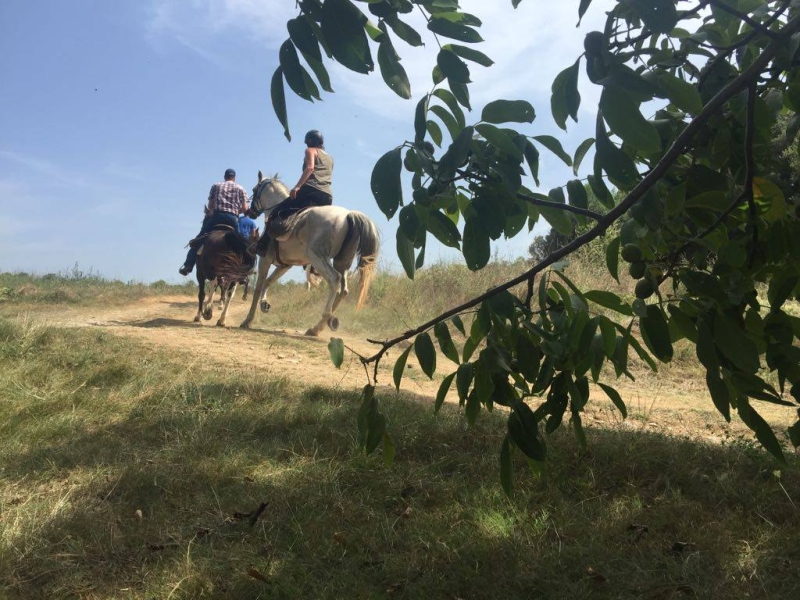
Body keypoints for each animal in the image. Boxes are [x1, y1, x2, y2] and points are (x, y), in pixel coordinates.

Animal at [239, 171, 380, 336]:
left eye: (255, 190)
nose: (250, 212)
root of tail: (348, 215)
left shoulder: (265, 259)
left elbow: (258, 286)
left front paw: (248, 320)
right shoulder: (285, 265)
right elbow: (269, 281)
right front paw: (264, 304)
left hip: (317, 257)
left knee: (334, 279)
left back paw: (328, 317)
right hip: (341, 262)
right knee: (343, 290)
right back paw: (316, 328)